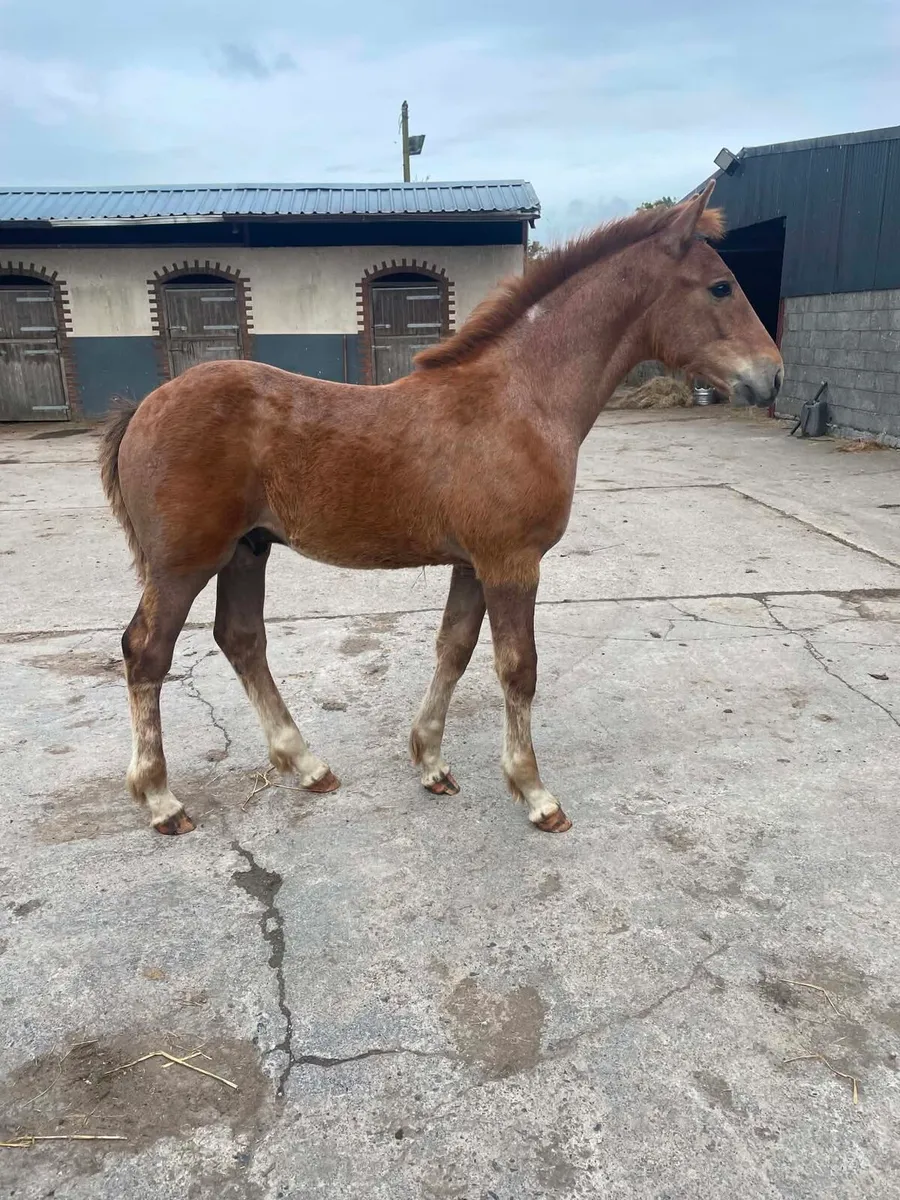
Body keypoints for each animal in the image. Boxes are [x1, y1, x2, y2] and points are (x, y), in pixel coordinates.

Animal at [99, 183, 782, 837]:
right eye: (721, 286)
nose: (772, 377)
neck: (520, 398)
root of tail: (145, 407)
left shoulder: (473, 562)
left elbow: (453, 648)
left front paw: (430, 763)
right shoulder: (512, 561)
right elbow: (518, 669)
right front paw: (535, 794)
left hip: (248, 550)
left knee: (241, 639)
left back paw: (307, 765)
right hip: (184, 563)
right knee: (146, 653)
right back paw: (161, 800)